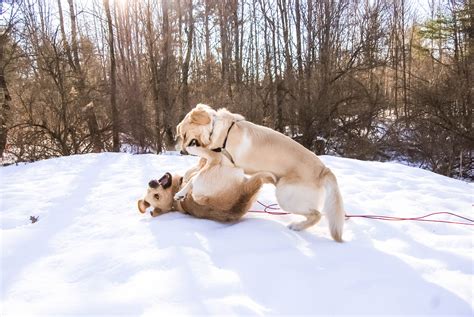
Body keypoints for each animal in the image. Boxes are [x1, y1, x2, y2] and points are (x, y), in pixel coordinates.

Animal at [137, 144, 276, 221]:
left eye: (152, 193)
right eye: (157, 196)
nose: (151, 183)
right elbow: (192, 172)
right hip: (211, 171)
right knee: (209, 160)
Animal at [176, 104, 346, 242]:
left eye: (184, 135)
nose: (181, 152)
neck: (216, 129)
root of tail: (323, 169)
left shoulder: (221, 162)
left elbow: (199, 169)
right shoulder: (216, 164)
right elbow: (194, 175)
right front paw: (181, 192)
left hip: (285, 196)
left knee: (317, 214)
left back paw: (297, 226)